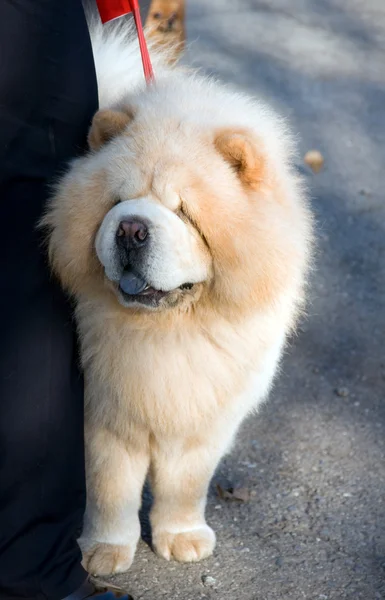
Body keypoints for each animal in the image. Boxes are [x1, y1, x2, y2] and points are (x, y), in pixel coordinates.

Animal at [42, 12, 312, 576]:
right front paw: (105, 552)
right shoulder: (103, 416)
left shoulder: (208, 411)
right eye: (117, 203)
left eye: (185, 211)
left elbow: (187, 483)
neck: (168, 333)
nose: (131, 229)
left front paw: (182, 537)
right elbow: (110, 489)